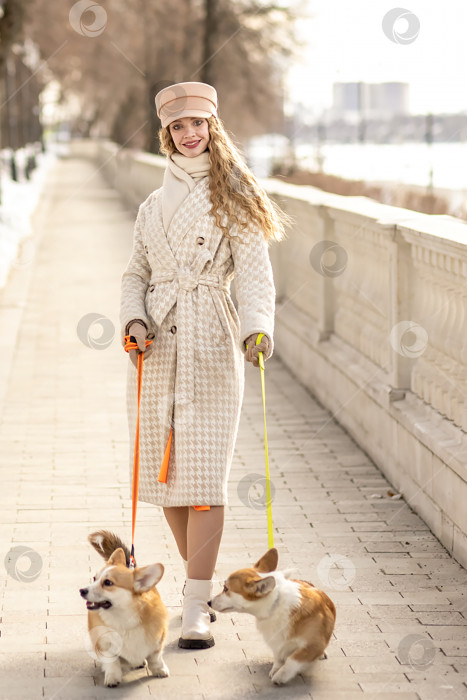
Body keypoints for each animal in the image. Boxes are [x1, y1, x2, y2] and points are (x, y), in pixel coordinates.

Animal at [79, 532, 169, 688]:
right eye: (94, 578)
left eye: (108, 582)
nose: (82, 590)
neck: (123, 618)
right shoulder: (104, 644)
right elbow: (112, 661)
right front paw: (112, 677)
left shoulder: (158, 638)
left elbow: (155, 657)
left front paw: (159, 670)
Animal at [211, 548, 336, 684]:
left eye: (226, 589)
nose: (209, 602)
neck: (276, 604)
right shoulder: (276, 642)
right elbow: (278, 657)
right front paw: (276, 669)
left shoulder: (314, 645)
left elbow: (293, 660)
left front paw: (281, 676)